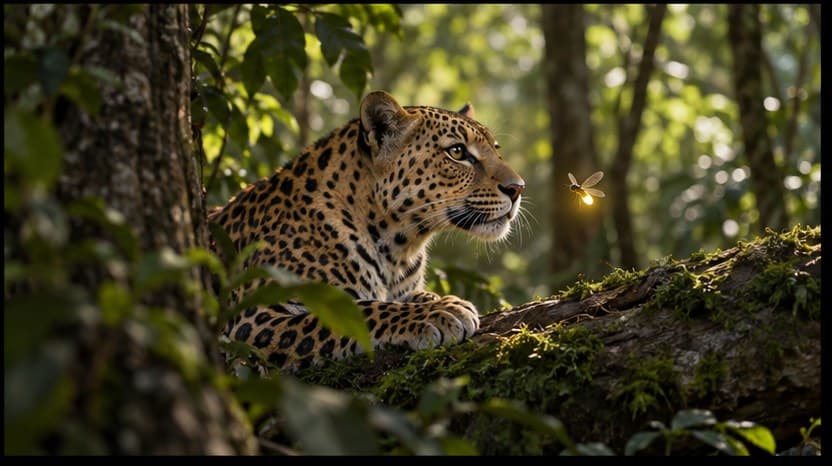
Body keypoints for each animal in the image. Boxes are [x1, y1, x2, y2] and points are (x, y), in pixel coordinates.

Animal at [209, 90, 525, 372]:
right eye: (457, 152)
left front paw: (439, 300)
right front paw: (437, 313)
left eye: (496, 150)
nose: (517, 188)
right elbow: (362, 308)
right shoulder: (253, 317)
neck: (400, 246)